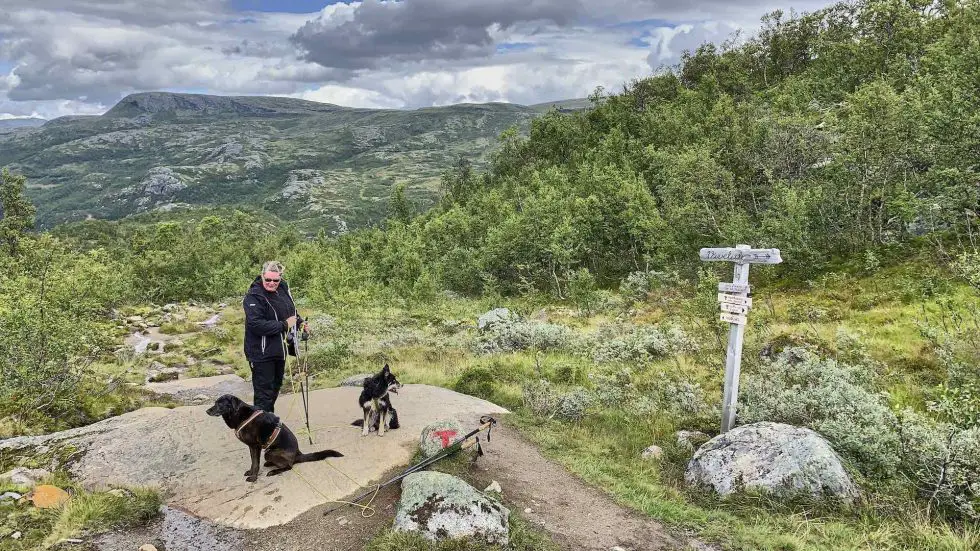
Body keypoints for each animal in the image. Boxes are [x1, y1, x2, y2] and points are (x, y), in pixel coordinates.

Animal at [207, 392, 344, 484]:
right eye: (215, 403)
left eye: (220, 404)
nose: (207, 411)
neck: (239, 414)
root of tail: (298, 454)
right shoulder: (252, 447)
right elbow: (253, 462)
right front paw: (251, 472)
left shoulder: (255, 446)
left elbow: (255, 463)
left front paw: (253, 477)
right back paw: (269, 464)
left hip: (269, 452)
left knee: (289, 466)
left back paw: (273, 471)